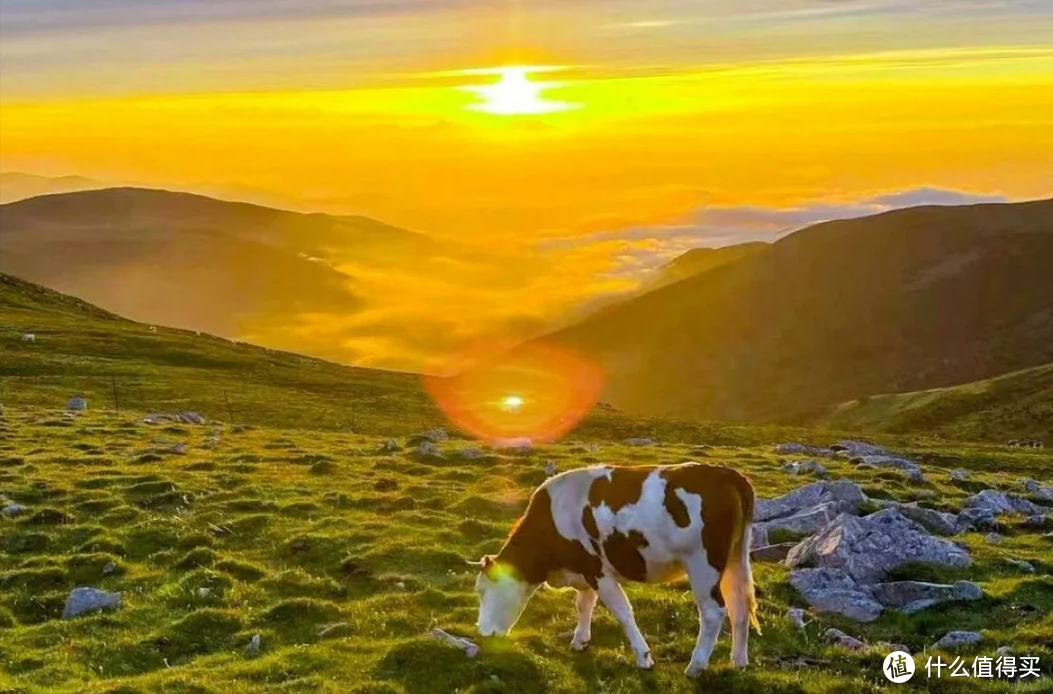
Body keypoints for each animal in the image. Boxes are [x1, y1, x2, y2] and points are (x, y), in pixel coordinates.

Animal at [469, 463, 758, 673]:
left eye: (483, 591)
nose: (482, 633)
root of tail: (727, 473)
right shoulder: (584, 570)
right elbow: (584, 604)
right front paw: (580, 640)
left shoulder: (598, 570)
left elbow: (622, 611)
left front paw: (643, 657)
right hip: (736, 558)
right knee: (740, 606)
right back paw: (738, 661)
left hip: (702, 564)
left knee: (713, 612)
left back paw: (696, 666)